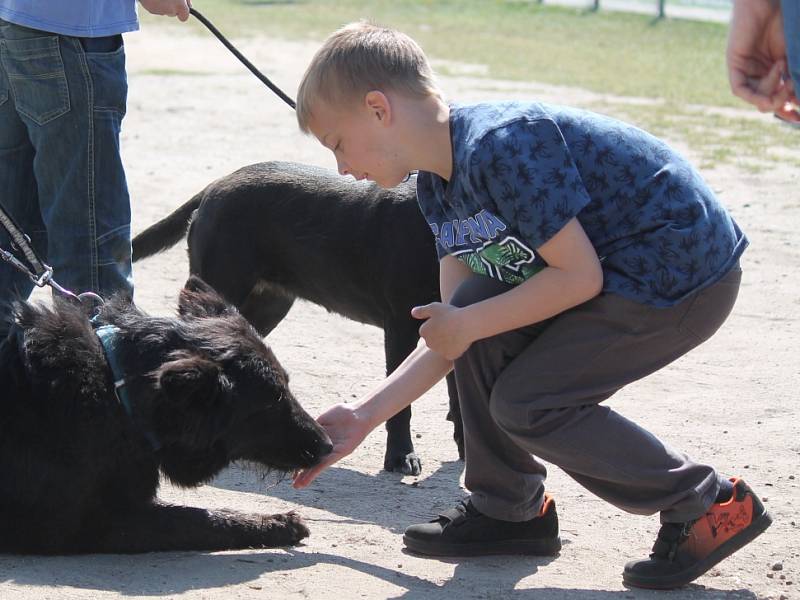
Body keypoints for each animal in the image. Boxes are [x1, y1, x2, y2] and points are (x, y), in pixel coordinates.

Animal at [0, 276, 332, 552]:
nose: (328, 446)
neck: (117, 390)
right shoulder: (88, 525)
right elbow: (197, 520)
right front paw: (275, 523)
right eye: (272, 401)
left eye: (286, 386)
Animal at [133, 162, 462, 476]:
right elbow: (402, 403)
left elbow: (458, 396)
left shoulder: (450, 324)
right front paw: (400, 456)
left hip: (267, 306)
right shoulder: (401, 326)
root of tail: (215, 187)